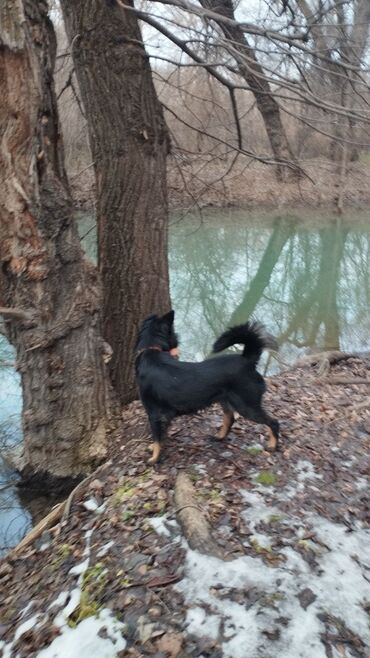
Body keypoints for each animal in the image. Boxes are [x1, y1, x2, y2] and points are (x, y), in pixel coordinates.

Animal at [135, 310, 278, 464]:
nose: (178, 342)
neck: (151, 350)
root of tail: (247, 360)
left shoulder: (154, 414)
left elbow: (157, 437)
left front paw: (154, 458)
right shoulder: (162, 416)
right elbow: (162, 435)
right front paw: (158, 448)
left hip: (247, 406)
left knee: (273, 422)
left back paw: (273, 445)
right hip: (226, 400)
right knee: (230, 418)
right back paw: (220, 436)